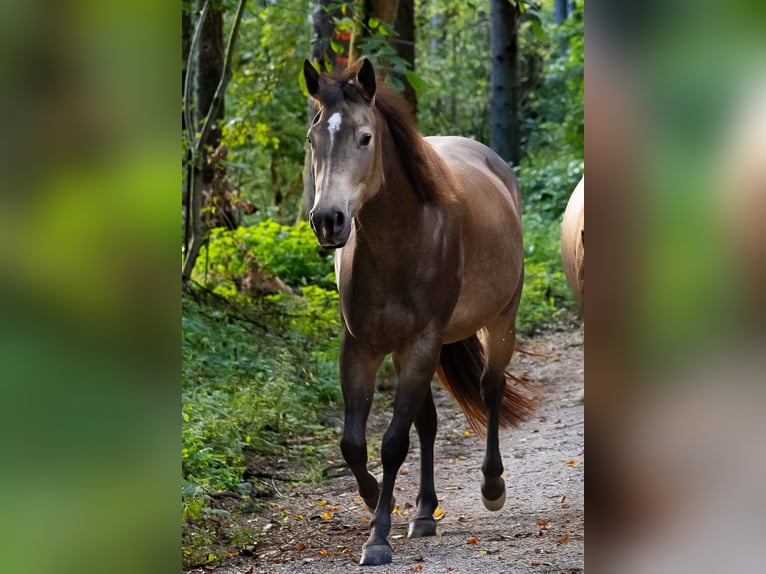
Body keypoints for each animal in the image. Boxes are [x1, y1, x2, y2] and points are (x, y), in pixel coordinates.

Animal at [302, 58, 535, 566]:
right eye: (313, 139)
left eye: (365, 137)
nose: (328, 221)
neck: (403, 240)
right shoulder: (362, 347)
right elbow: (354, 443)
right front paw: (375, 499)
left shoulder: (422, 342)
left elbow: (393, 443)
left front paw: (377, 536)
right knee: (427, 422)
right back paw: (425, 512)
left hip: (498, 322)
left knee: (490, 389)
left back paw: (492, 485)